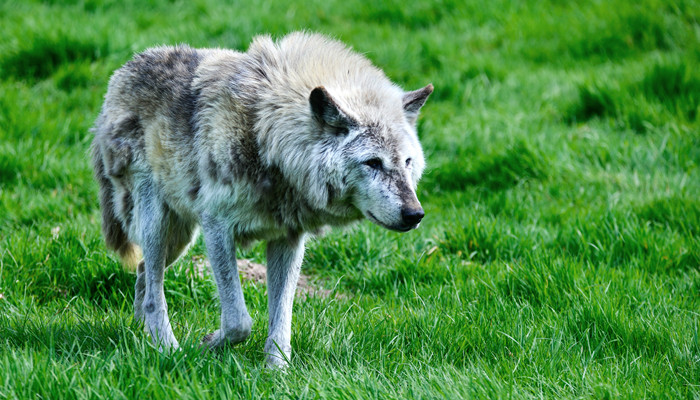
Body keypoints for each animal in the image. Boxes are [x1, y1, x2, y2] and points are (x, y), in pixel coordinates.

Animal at [91, 32, 432, 368]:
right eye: (373, 162)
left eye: (407, 162)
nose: (415, 214)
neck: (266, 136)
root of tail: (124, 70)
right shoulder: (217, 228)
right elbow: (239, 321)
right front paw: (204, 346)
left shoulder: (288, 238)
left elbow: (281, 318)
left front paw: (276, 371)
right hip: (159, 225)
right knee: (153, 291)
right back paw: (168, 350)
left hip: (179, 239)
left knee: (143, 272)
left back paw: (141, 335)